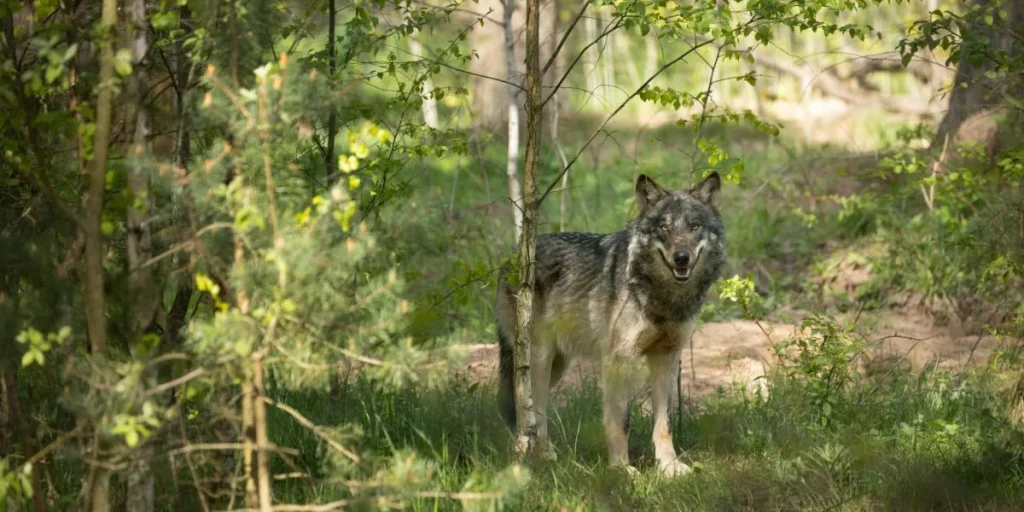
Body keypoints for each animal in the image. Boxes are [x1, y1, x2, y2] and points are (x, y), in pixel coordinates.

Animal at [495, 171, 726, 477]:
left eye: (694, 226)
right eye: (663, 227)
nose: (681, 258)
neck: (663, 298)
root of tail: (510, 257)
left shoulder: (666, 357)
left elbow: (665, 422)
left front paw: (669, 467)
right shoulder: (618, 361)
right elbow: (620, 422)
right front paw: (621, 469)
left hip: (558, 363)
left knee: (535, 407)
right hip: (538, 359)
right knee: (529, 407)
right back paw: (534, 455)